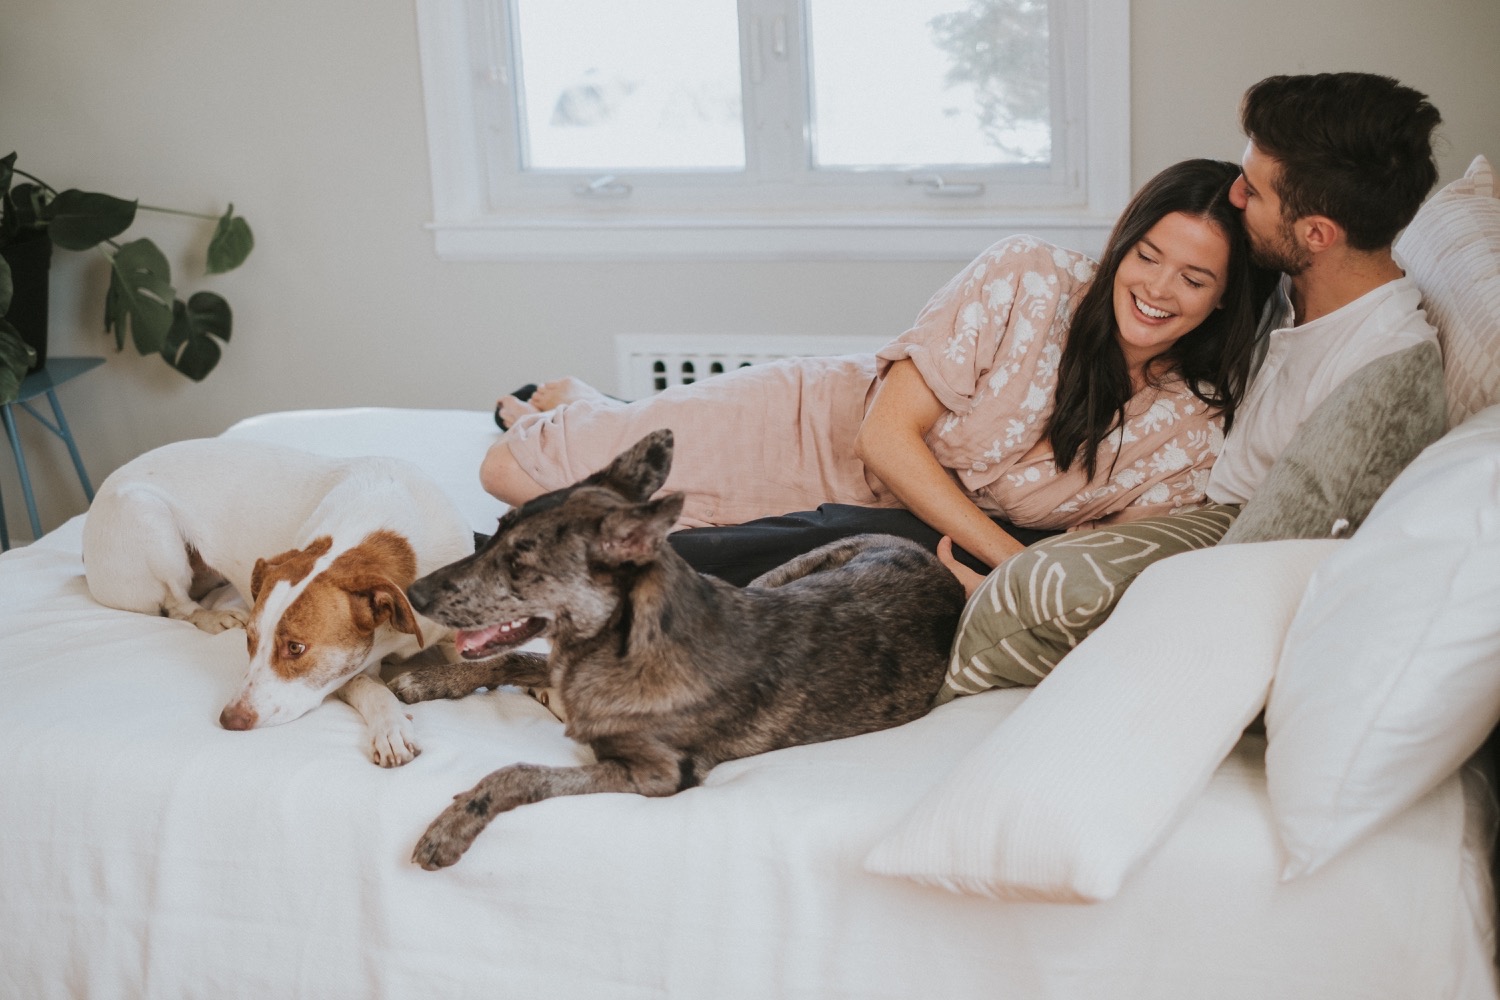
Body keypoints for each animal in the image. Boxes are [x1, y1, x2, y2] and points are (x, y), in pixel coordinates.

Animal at [83, 437, 468, 767]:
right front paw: (391, 728)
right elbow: (374, 691)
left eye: (295, 648)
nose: (230, 720)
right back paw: (215, 617)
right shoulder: (352, 671)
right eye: (249, 641)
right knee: (178, 604)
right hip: (148, 520)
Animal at [393, 431, 966, 869]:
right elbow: (511, 658)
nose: (414, 594)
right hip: (777, 577)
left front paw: (450, 826)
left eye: (517, 562)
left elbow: (519, 771)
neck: (617, 646)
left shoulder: (655, 775)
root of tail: (940, 568)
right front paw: (429, 680)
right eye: (493, 534)